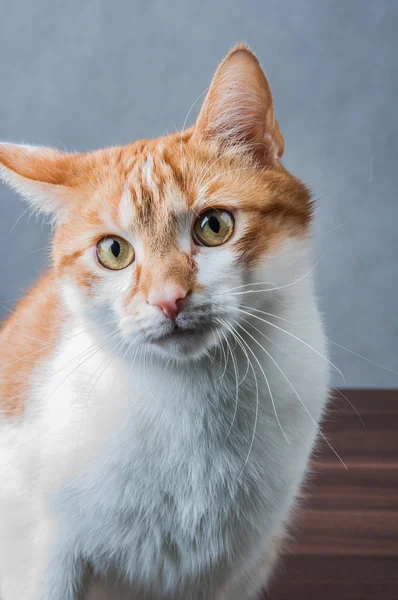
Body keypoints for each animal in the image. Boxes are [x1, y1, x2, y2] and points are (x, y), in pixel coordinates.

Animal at [0, 43, 330, 600]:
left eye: (214, 226)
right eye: (113, 251)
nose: (168, 299)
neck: (191, 400)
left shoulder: (232, 568)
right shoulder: (43, 558)